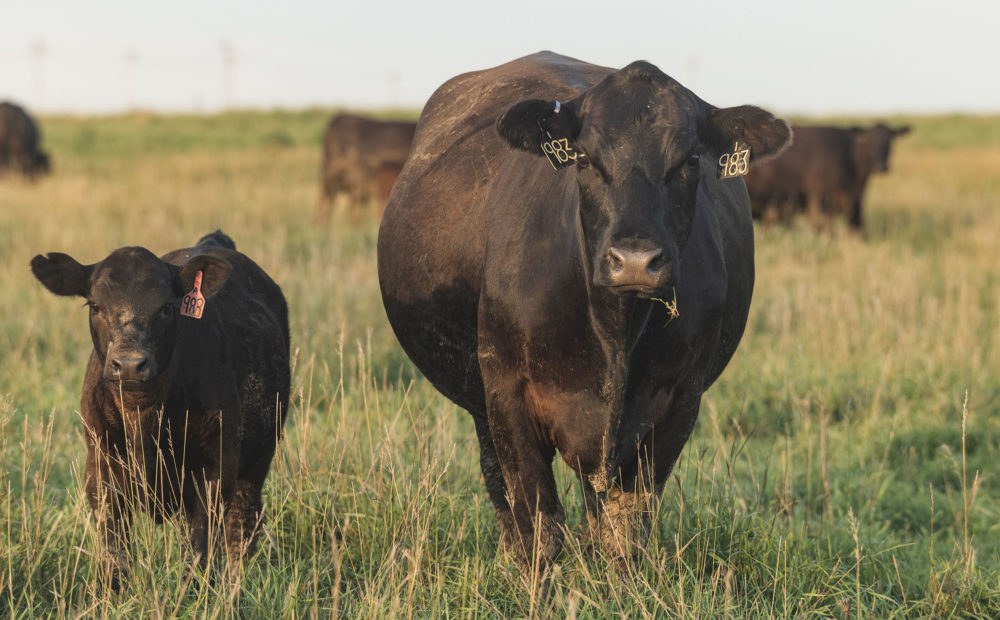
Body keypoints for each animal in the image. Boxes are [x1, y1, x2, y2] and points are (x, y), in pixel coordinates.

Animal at [27, 230, 292, 588]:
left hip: (258, 458)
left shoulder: (215, 469)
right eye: (95, 305)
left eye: (167, 307)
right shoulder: (100, 470)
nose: (128, 364)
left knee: (242, 525)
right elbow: (115, 554)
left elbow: (198, 551)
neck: (144, 419)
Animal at [376, 52, 788, 576]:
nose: (635, 260)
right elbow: (539, 523)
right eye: (586, 158)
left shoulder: (680, 399)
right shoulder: (506, 391)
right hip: (481, 399)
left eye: (691, 161)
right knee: (501, 487)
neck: (613, 329)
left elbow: (625, 528)